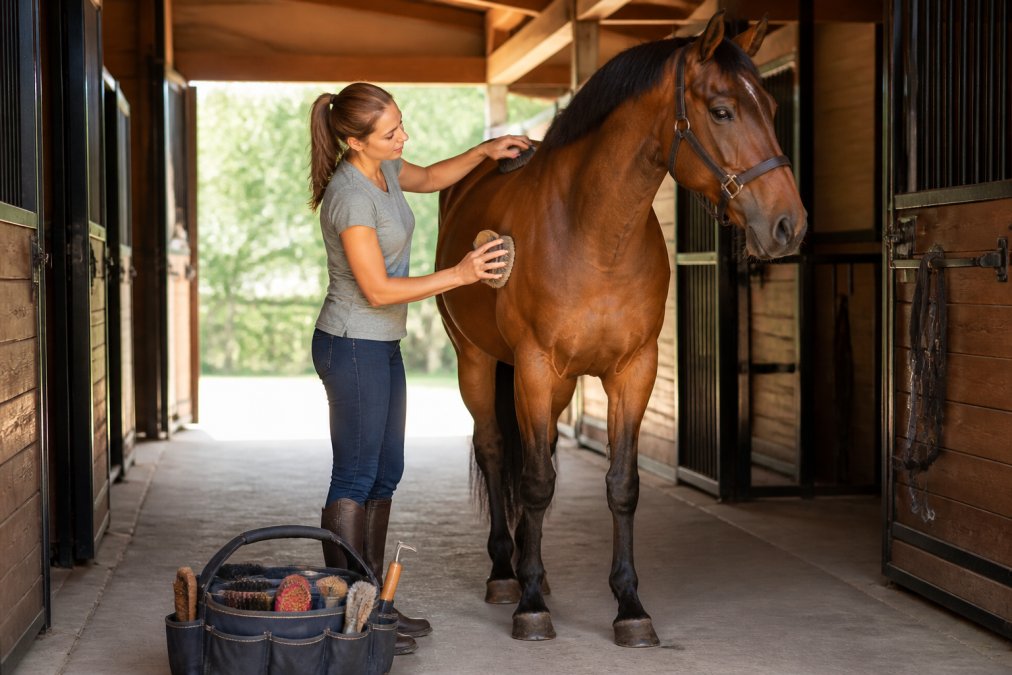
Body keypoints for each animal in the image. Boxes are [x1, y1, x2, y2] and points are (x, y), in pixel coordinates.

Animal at [435, 12, 806, 647]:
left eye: (773, 109)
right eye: (722, 110)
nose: (789, 225)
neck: (592, 235)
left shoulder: (633, 371)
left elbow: (621, 485)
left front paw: (630, 606)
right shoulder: (534, 367)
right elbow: (535, 482)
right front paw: (530, 606)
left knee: (536, 454)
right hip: (479, 363)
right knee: (495, 450)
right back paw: (507, 572)